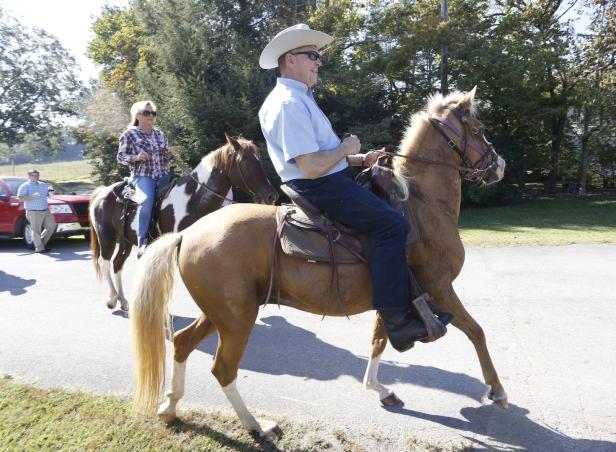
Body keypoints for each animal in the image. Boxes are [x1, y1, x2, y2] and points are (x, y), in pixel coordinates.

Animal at [88, 134, 276, 310]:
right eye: (246, 162)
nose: (271, 196)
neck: (194, 199)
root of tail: (100, 192)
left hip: (125, 241)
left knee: (117, 264)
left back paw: (123, 301)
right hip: (106, 237)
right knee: (104, 263)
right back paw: (112, 299)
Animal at [129, 87, 506, 438]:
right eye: (476, 128)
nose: (499, 164)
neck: (420, 205)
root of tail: (187, 234)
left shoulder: (393, 296)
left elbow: (380, 340)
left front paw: (379, 389)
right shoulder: (440, 289)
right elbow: (477, 331)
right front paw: (497, 389)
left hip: (220, 313)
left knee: (182, 342)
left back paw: (170, 406)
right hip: (236, 320)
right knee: (223, 369)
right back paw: (255, 425)